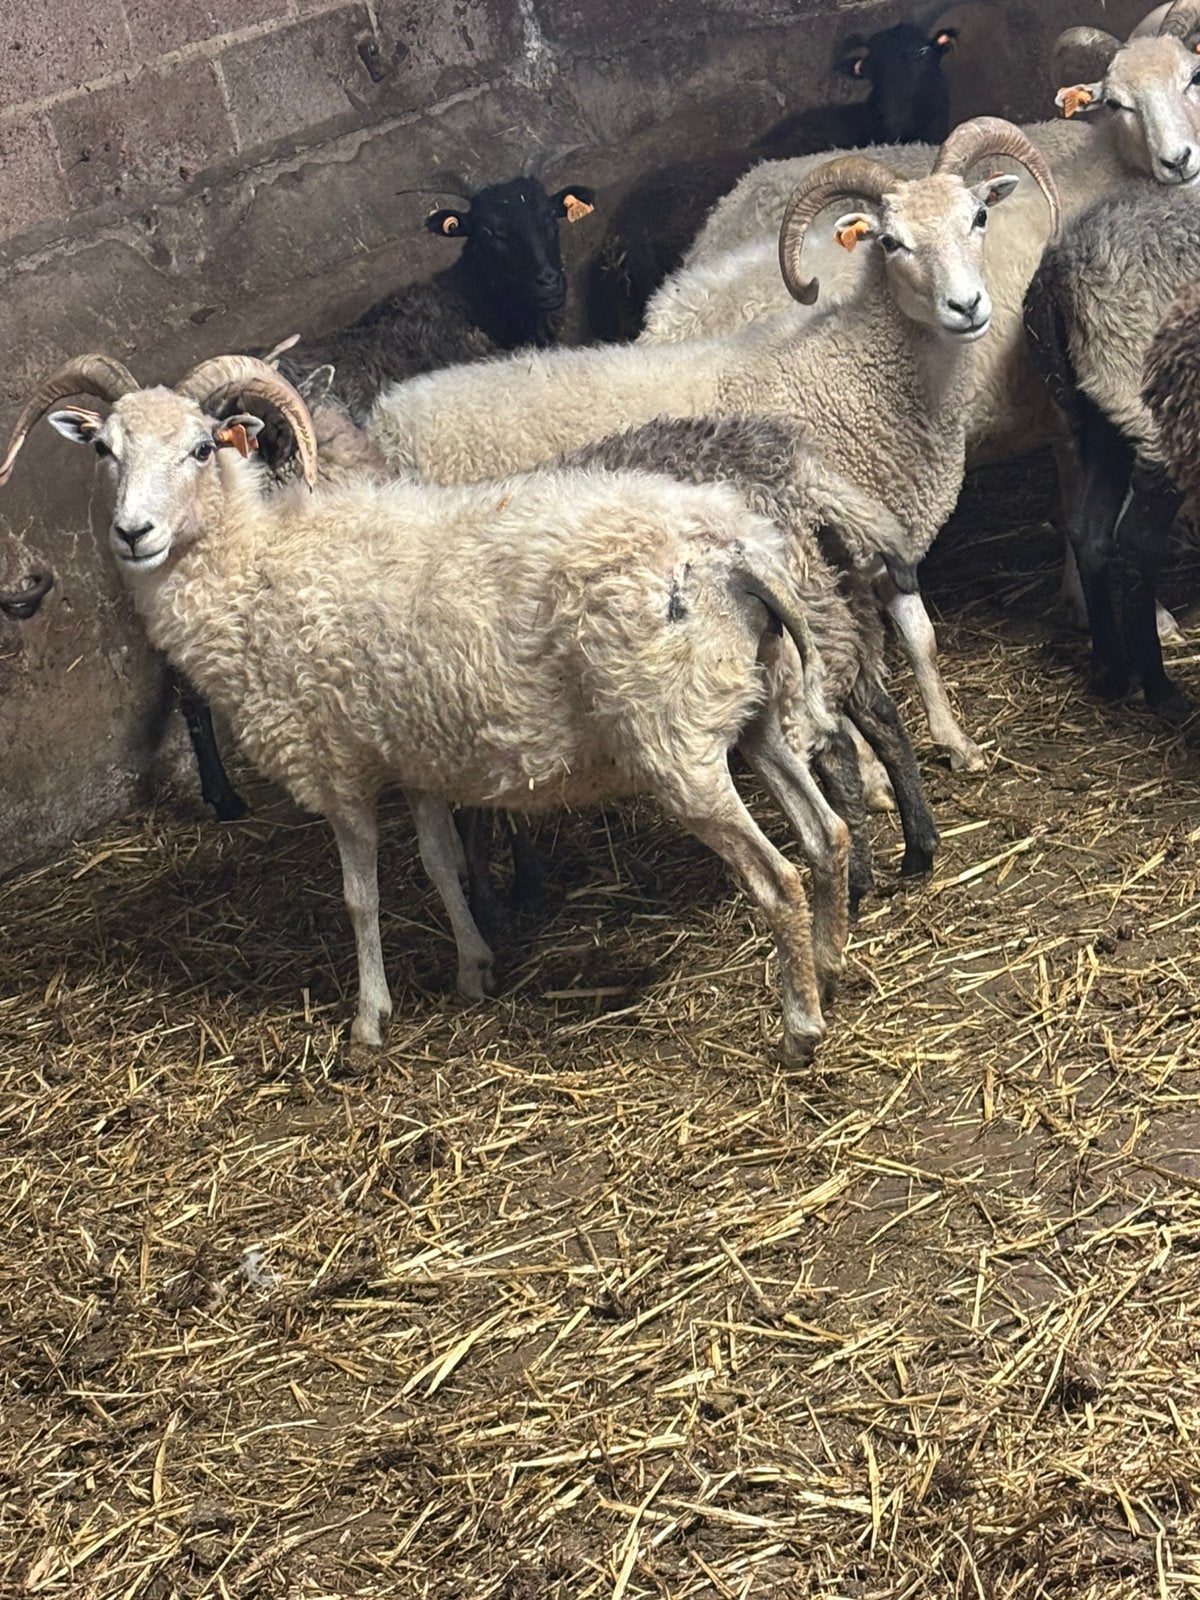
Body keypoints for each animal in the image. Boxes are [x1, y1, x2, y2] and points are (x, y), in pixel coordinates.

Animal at [0, 353, 862, 1064]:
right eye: (105, 451)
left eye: (202, 449)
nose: (132, 532)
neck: (253, 566)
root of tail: (733, 549)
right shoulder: (411, 752)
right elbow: (443, 864)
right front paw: (474, 968)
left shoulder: (336, 762)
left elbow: (361, 897)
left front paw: (369, 1023)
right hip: (753, 709)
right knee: (828, 833)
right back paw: (831, 964)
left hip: (675, 743)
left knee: (777, 877)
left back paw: (800, 1027)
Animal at [367, 118, 1060, 775]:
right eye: (891, 242)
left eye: (978, 217)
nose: (967, 306)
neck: (849, 370)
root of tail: (388, 418)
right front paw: (873, 773)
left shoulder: (884, 537)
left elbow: (920, 640)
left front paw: (955, 741)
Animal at [1024, 185, 1200, 706]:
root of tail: (1060, 265)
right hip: (1150, 408)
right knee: (1137, 538)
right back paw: (1157, 685)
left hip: (1101, 412)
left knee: (1088, 530)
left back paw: (1109, 671)